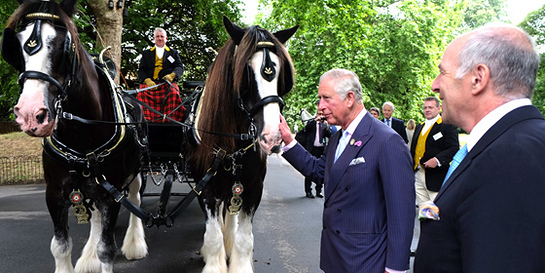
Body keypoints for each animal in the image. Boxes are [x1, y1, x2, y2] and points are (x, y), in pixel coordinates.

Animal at [1, 0, 147, 270]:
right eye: (17, 44)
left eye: (63, 45)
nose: (30, 114)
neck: (81, 136)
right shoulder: (55, 193)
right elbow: (60, 246)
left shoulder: (112, 194)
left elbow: (107, 249)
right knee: (96, 216)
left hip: (135, 172)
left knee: (135, 199)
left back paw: (135, 243)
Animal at [189, 17, 296, 272]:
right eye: (245, 72)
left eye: (281, 75)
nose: (273, 137)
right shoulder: (204, 188)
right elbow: (213, 234)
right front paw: (214, 262)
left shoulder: (253, 188)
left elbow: (244, 237)